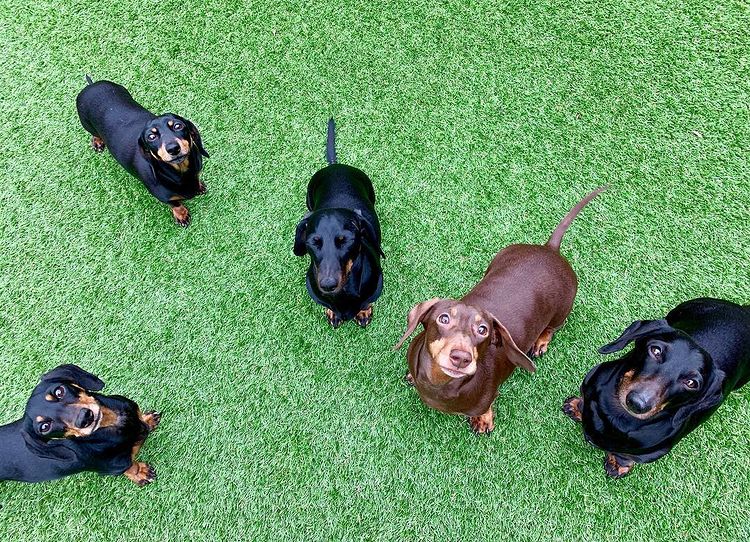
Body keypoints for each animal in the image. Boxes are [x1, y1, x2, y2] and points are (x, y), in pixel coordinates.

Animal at [0, 366, 162, 488]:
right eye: (45, 427)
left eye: (59, 391)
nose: (85, 418)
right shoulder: (116, 467)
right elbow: (130, 467)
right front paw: (140, 473)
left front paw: (148, 420)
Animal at [76, 76, 210, 225]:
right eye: (151, 137)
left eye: (177, 126)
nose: (173, 149)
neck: (180, 173)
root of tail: (91, 85)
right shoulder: (164, 197)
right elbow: (176, 204)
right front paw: (182, 215)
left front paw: (199, 186)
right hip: (87, 124)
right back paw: (97, 141)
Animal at [294, 119, 384, 330]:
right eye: (313, 241)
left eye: (346, 240)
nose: (328, 285)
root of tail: (335, 166)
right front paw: (332, 312)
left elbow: (366, 303)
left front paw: (363, 312)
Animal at [396, 187, 608, 434]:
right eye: (444, 318)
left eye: (483, 330)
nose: (461, 358)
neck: (439, 385)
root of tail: (550, 249)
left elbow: (485, 407)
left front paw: (483, 419)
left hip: (563, 310)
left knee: (552, 328)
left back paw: (541, 341)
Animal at [564, 298, 750, 480]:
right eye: (655, 350)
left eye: (691, 383)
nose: (637, 403)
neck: (615, 416)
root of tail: (744, 311)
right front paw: (576, 406)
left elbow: (625, 456)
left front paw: (617, 465)